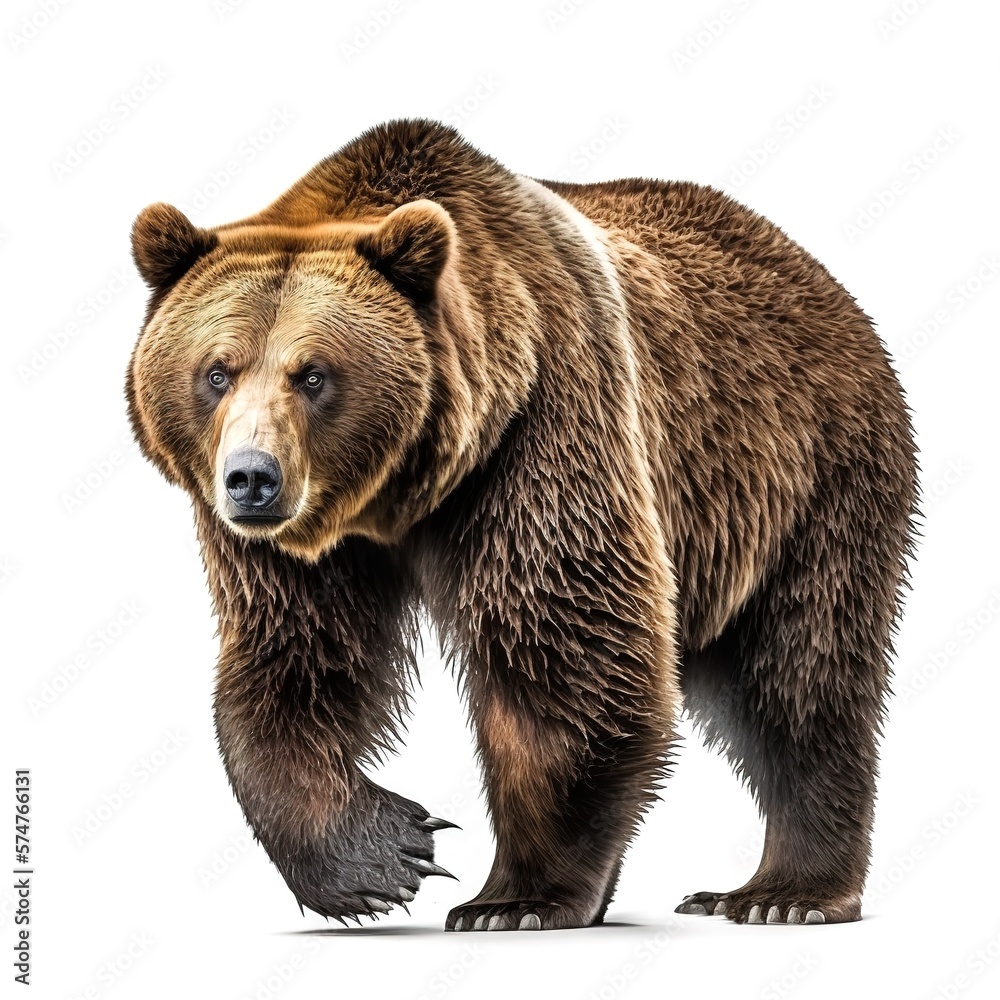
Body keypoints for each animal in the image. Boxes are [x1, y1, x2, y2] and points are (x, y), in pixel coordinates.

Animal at [126, 118, 918, 931]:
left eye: (313, 374)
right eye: (216, 371)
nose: (251, 479)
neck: (398, 495)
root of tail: (815, 271)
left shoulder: (538, 426)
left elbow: (565, 646)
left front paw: (511, 898)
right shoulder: (301, 552)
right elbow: (293, 658)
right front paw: (379, 857)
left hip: (804, 477)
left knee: (799, 675)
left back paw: (782, 893)